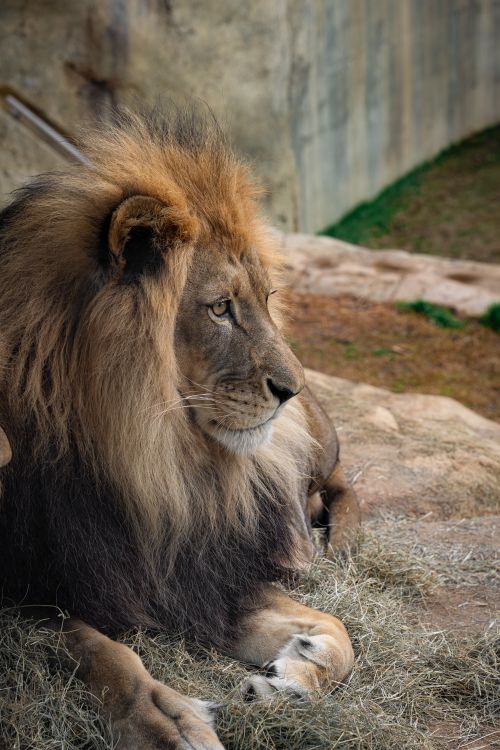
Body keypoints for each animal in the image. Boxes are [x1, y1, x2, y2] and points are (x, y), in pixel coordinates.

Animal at [0, 110, 359, 749]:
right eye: (219, 308)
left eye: (267, 299)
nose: (290, 390)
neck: (156, 460)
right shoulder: (37, 587)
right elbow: (106, 654)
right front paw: (168, 722)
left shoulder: (196, 569)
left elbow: (337, 630)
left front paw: (296, 674)